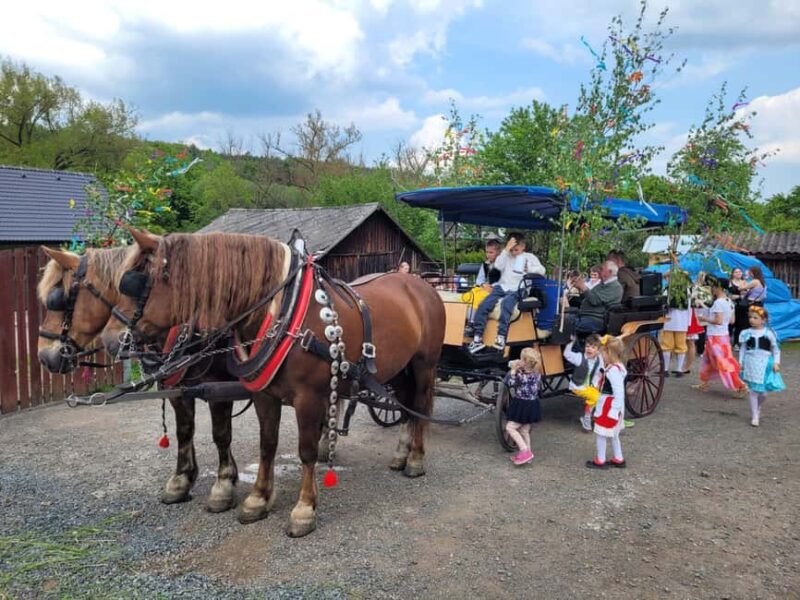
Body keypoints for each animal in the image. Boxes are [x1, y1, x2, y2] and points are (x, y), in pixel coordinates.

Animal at [36, 246, 242, 513]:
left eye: (59, 299)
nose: (43, 357)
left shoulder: (218, 388)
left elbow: (221, 434)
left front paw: (224, 485)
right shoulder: (177, 389)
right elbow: (184, 431)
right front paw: (181, 481)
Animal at [101, 228, 445, 537]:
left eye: (141, 284)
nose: (111, 340)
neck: (284, 312)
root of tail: (421, 284)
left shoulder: (309, 398)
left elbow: (306, 450)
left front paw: (304, 510)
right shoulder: (265, 395)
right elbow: (267, 445)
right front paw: (258, 499)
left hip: (424, 367)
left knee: (418, 406)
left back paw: (415, 459)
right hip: (399, 369)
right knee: (405, 406)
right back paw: (401, 454)